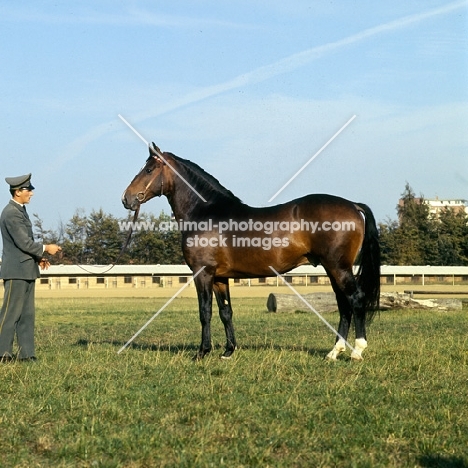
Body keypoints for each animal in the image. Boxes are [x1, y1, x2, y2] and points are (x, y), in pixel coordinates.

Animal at [120, 143, 380, 362]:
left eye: (149, 169)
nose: (126, 198)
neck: (204, 212)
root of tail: (353, 205)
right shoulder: (220, 278)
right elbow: (226, 311)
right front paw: (228, 351)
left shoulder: (203, 274)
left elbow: (205, 312)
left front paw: (202, 352)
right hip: (333, 268)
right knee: (344, 305)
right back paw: (334, 352)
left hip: (338, 267)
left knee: (355, 300)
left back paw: (357, 351)